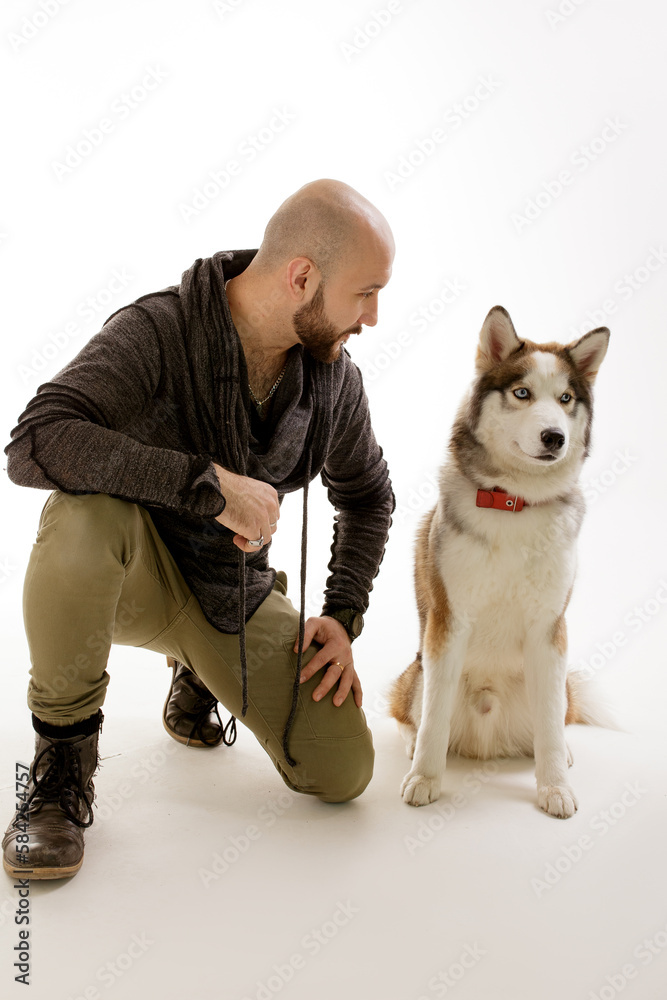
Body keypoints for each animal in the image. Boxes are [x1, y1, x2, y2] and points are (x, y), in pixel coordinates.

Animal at [388, 306, 612, 820]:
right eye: (522, 393)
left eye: (566, 398)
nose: (555, 436)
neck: (515, 503)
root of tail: (484, 745)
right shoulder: (448, 623)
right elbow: (433, 721)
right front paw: (425, 778)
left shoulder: (550, 630)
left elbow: (550, 728)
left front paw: (555, 786)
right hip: (417, 672)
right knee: (411, 713)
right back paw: (411, 748)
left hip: (556, 686)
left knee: (555, 720)